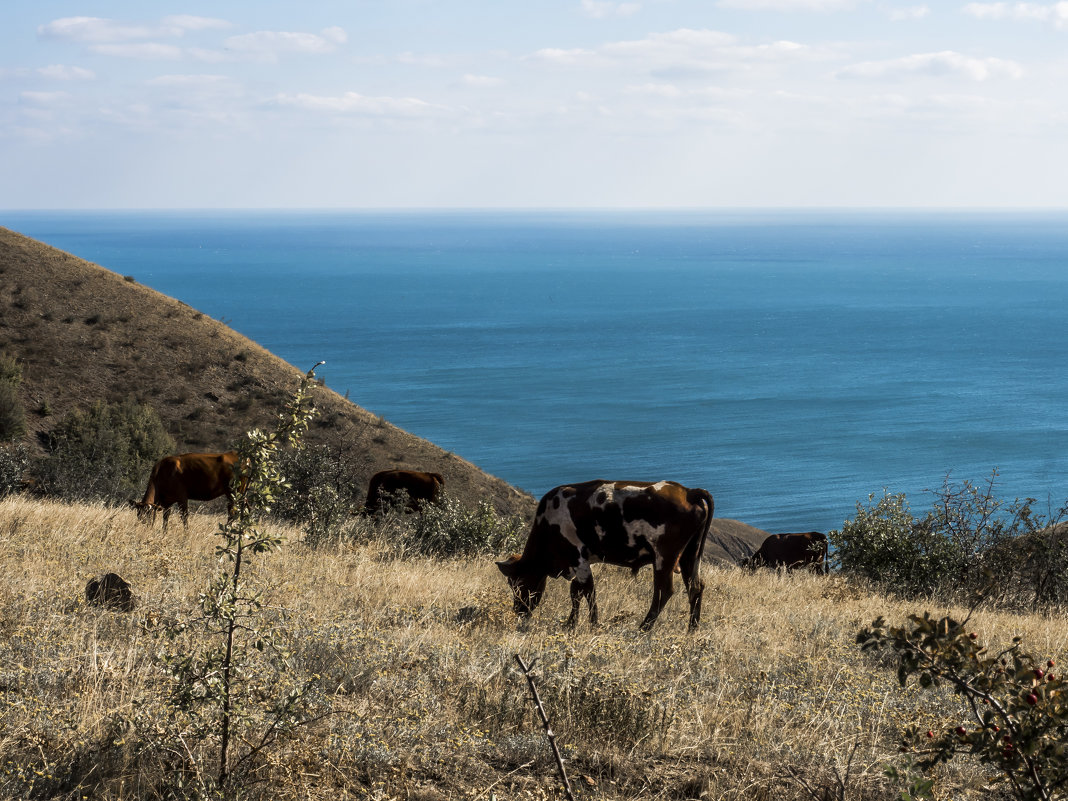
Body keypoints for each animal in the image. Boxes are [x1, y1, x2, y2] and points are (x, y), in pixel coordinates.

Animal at [495, 482, 713, 632]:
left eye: (518, 583)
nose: (519, 611)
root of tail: (689, 491)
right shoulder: (580, 564)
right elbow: (576, 592)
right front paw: (571, 623)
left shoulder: (579, 560)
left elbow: (588, 592)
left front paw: (592, 624)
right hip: (689, 555)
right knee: (695, 587)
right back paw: (692, 629)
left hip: (664, 557)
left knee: (663, 591)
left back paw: (643, 628)